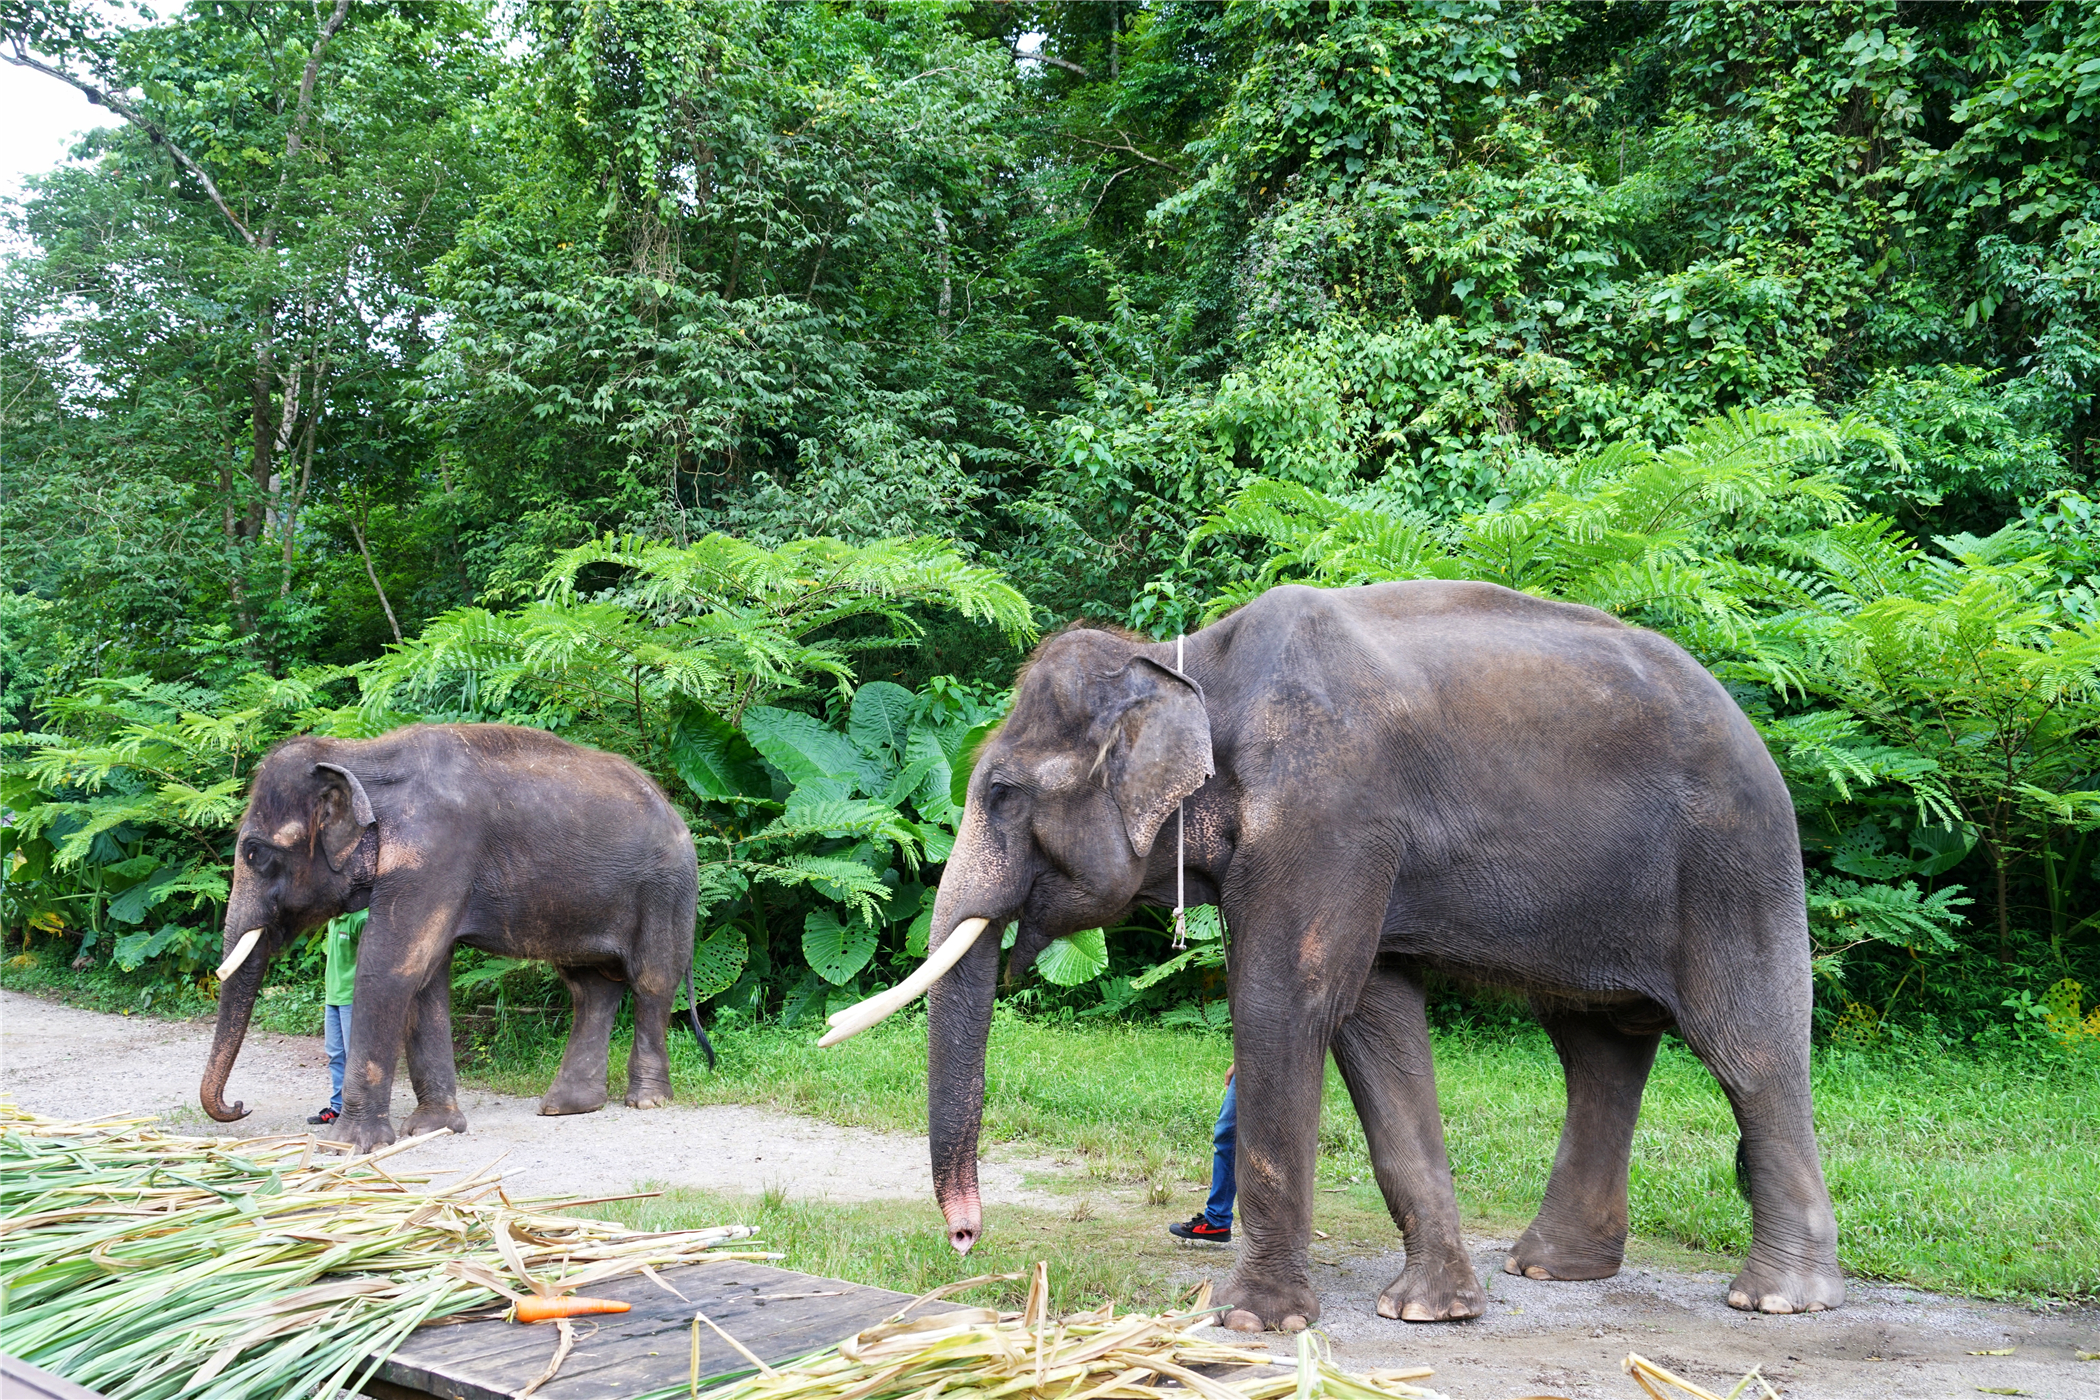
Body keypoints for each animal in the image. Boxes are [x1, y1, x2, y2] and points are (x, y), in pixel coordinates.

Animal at [204, 722, 713, 1150]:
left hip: (665, 891)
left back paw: (646, 1100)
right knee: (590, 987)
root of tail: (675, 812)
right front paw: (435, 1128)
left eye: (255, 853)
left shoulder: (436, 853)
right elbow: (426, 980)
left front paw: (348, 1146)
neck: (359, 754)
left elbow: (391, 969)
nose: (239, 1106)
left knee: (651, 983)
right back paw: (565, 1107)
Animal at [827, 579, 1847, 1334]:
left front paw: (1252, 1322)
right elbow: (1372, 1019)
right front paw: (1430, 1314)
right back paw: (1550, 1270)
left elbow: (1286, 1005)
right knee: (1598, 1048)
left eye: (1001, 791)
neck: (1194, 661)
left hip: (1734, 866)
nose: (968, 1239)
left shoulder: (1329, 810)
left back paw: (1775, 1299)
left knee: (1748, 1047)